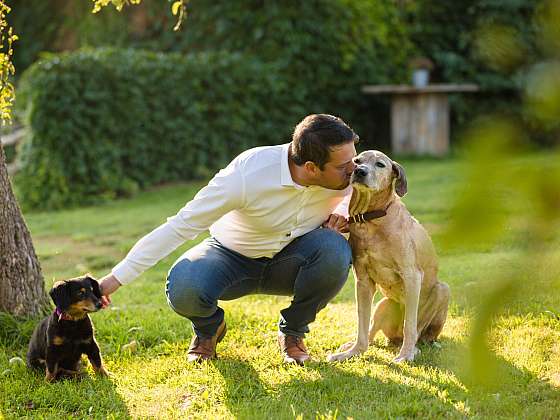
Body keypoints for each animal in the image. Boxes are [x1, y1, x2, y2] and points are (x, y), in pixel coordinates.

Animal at [328, 149, 450, 362]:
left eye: (380, 164)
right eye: (356, 161)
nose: (360, 171)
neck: (371, 219)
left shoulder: (412, 276)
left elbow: (410, 325)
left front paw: (405, 355)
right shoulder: (363, 282)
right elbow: (362, 324)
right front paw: (352, 352)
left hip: (443, 291)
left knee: (418, 333)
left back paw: (414, 348)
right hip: (384, 304)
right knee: (371, 329)